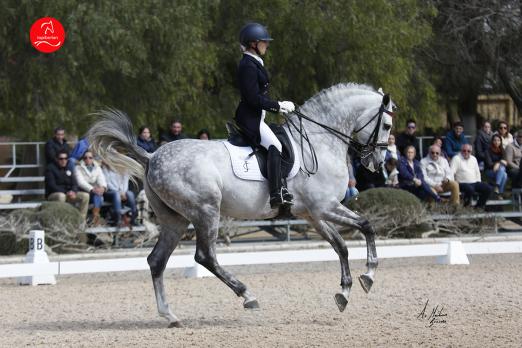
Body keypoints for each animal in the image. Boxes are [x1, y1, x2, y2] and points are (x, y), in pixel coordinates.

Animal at [88, 83, 390, 328]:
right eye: (387, 125)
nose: (376, 164)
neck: (318, 141)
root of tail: (151, 156)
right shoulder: (324, 207)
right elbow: (366, 225)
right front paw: (369, 275)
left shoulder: (312, 214)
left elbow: (341, 245)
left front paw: (345, 293)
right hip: (206, 211)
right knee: (205, 257)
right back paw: (248, 296)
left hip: (175, 220)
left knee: (157, 260)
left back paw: (170, 316)